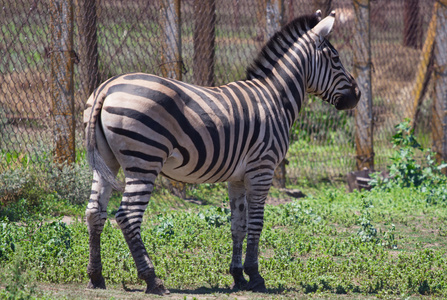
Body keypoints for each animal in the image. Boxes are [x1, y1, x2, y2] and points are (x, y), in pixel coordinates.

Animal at [84, 9, 362, 296]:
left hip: (107, 161)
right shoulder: (262, 169)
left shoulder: (237, 177)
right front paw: (256, 276)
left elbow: (238, 225)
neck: (275, 97)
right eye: (335, 58)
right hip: (144, 160)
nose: (358, 95)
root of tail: (107, 87)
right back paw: (152, 279)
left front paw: (238, 276)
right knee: (128, 216)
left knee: (95, 212)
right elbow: (256, 223)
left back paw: (96, 277)